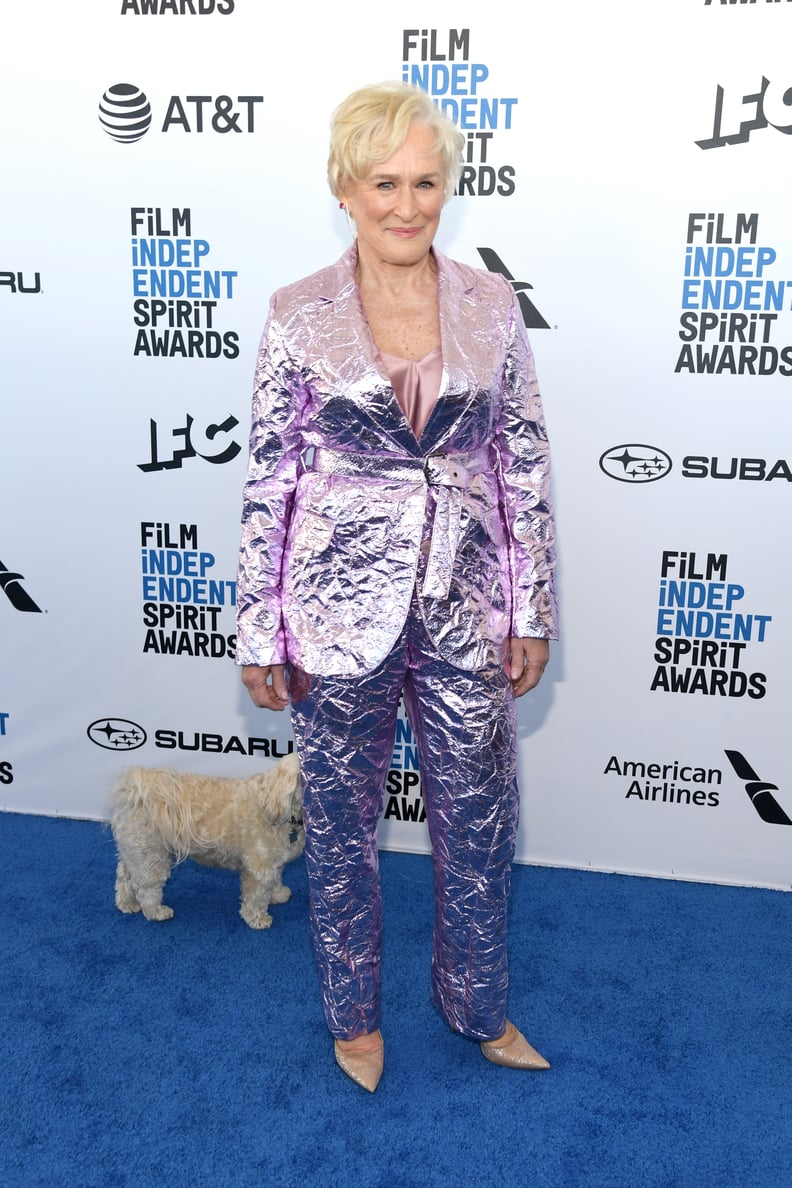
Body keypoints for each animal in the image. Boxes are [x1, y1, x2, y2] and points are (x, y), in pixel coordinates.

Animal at [108, 750, 300, 926]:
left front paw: (278, 894)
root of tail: (135, 797)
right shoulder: (259, 866)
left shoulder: (275, 861)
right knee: (146, 888)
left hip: (135, 852)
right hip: (151, 856)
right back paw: (156, 912)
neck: (272, 801)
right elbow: (256, 896)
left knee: (124, 875)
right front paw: (257, 919)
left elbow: (275, 880)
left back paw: (126, 903)